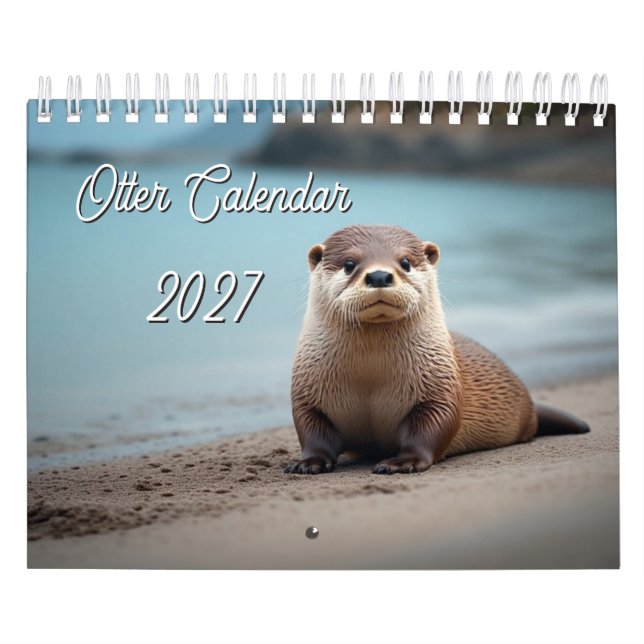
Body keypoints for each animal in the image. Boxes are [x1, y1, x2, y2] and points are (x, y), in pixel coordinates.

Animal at [285, 224, 589, 475]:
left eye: (405, 262)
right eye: (349, 264)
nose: (380, 275)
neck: (370, 378)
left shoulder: (438, 388)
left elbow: (433, 427)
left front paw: (402, 462)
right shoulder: (308, 394)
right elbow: (312, 431)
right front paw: (309, 462)